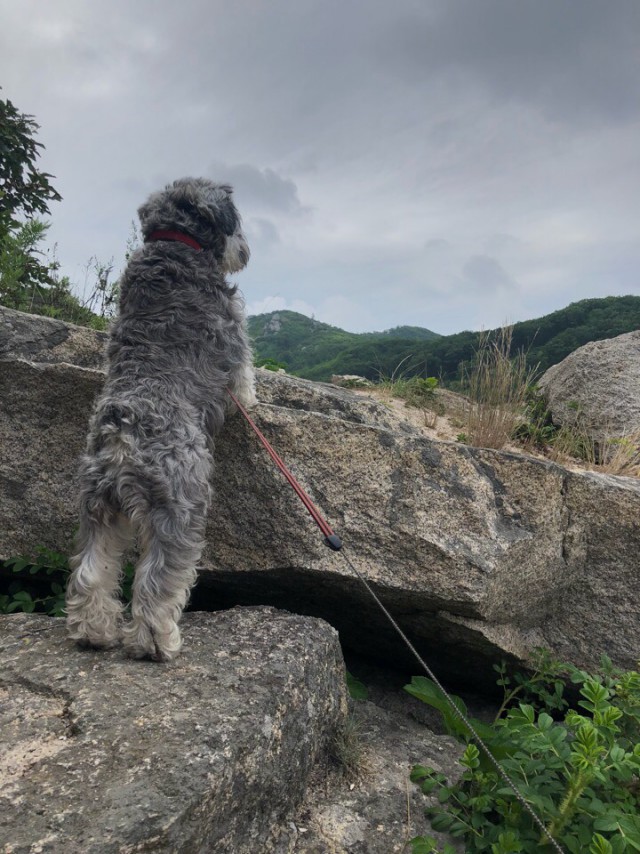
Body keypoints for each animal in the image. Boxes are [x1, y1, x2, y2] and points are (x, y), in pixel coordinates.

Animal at [64, 177, 255, 664]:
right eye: (236, 220)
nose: (244, 251)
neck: (175, 243)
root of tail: (121, 430)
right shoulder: (233, 330)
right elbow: (244, 371)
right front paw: (251, 398)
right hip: (179, 509)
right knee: (156, 582)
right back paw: (157, 642)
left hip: (97, 508)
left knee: (90, 573)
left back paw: (93, 632)